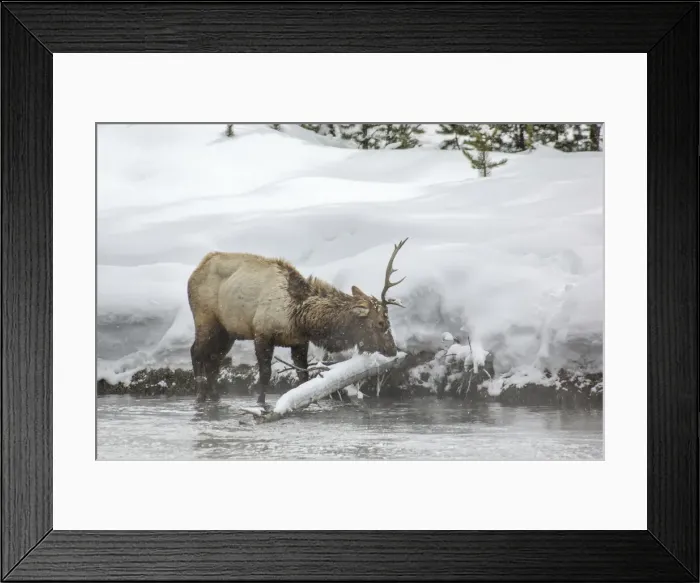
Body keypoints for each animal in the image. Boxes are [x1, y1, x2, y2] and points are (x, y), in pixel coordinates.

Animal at [186, 238, 408, 404]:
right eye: (381, 323)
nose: (393, 350)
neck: (300, 317)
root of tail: (195, 271)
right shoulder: (262, 334)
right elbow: (265, 375)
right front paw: (261, 404)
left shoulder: (299, 342)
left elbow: (303, 377)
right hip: (205, 319)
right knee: (196, 351)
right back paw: (199, 395)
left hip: (227, 332)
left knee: (214, 360)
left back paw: (214, 396)